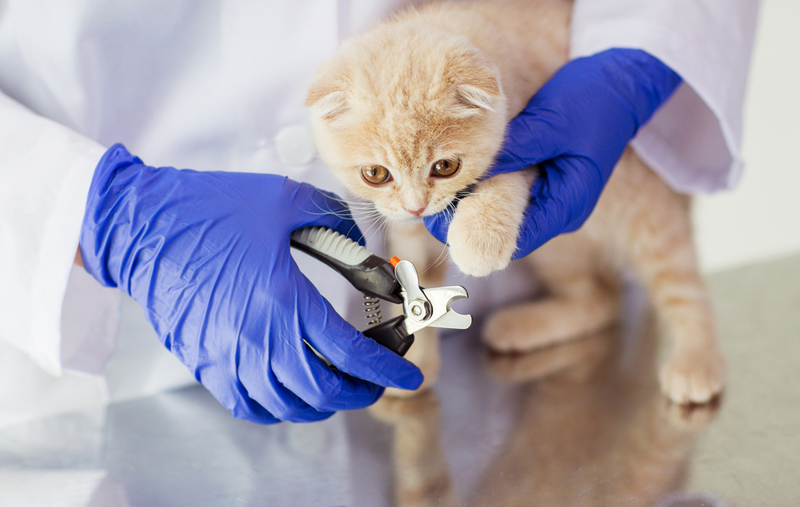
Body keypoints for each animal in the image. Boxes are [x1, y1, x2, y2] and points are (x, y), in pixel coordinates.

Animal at [306, 0, 724, 404]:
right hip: (559, 250)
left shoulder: (529, 140)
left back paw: (696, 361)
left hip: (642, 210)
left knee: (679, 281)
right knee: (604, 298)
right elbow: (416, 275)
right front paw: (416, 363)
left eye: (445, 167)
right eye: (375, 174)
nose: (416, 207)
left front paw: (477, 240)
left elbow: (500, 183)